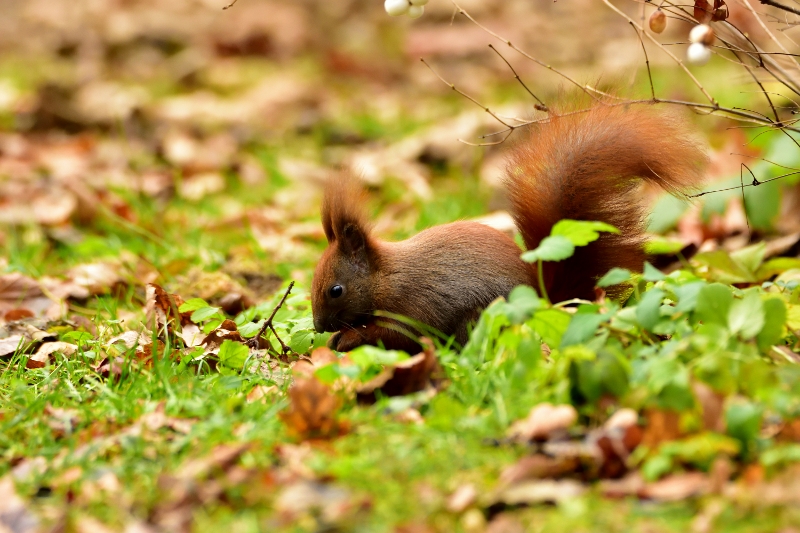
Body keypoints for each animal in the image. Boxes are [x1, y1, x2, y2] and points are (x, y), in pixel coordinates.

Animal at [312, 105, 708, 354]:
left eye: (336, 290)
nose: (317, 327)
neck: (386, 278)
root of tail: (544, 300)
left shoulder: (414, 305)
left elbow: (398, 334)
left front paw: (347, 340)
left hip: (483, 317)